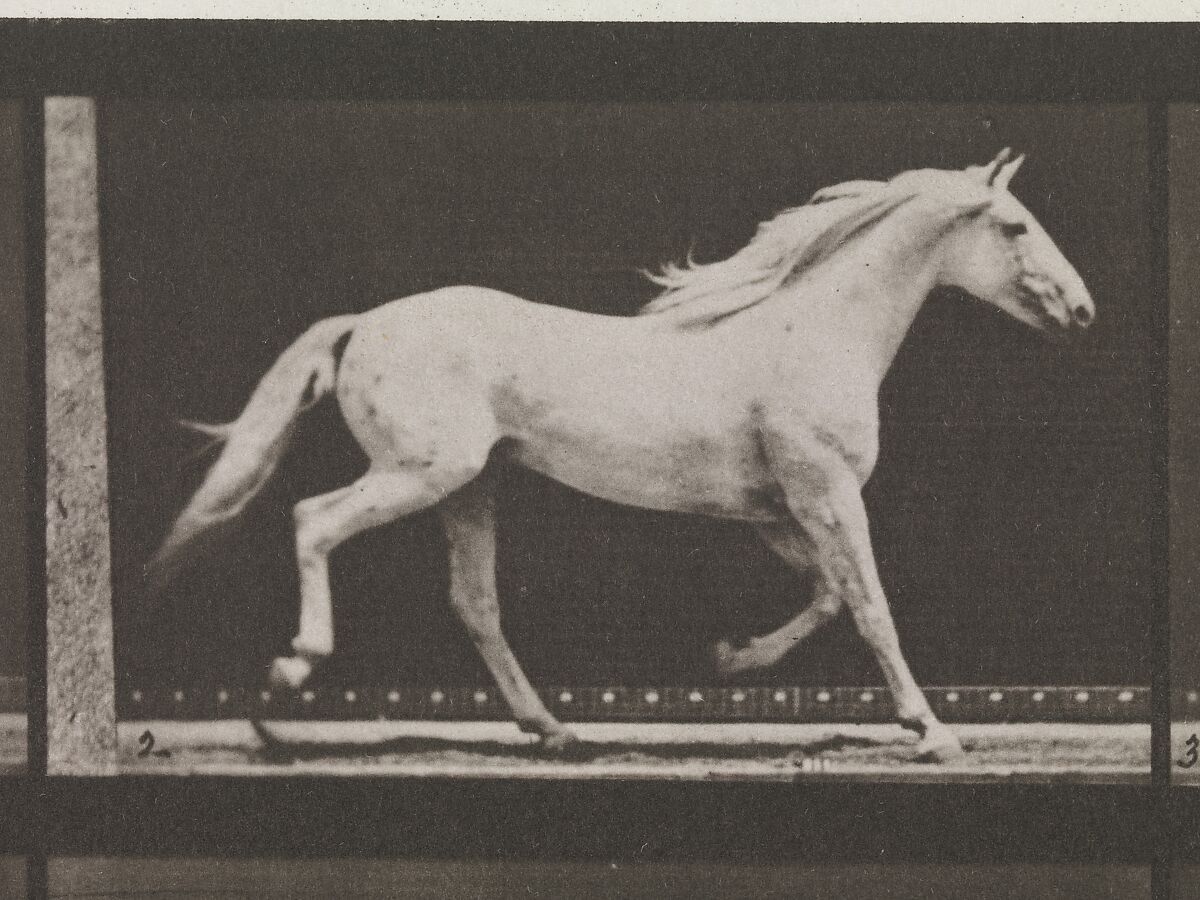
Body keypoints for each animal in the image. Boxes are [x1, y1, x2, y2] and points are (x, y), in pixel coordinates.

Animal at [145, 149, 1094, 762]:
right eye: (1015, 226)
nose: (1082, 310)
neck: (811, 336)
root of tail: (366, 323)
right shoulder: (823, 493)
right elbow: (870, 606)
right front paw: (933, 732)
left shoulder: (779, 512)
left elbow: (829, 597)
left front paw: (727, 658)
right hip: (424, 474)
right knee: (313, 520)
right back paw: (288, 677)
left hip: (467, 489)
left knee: (475, 604)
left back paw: (553, 731)